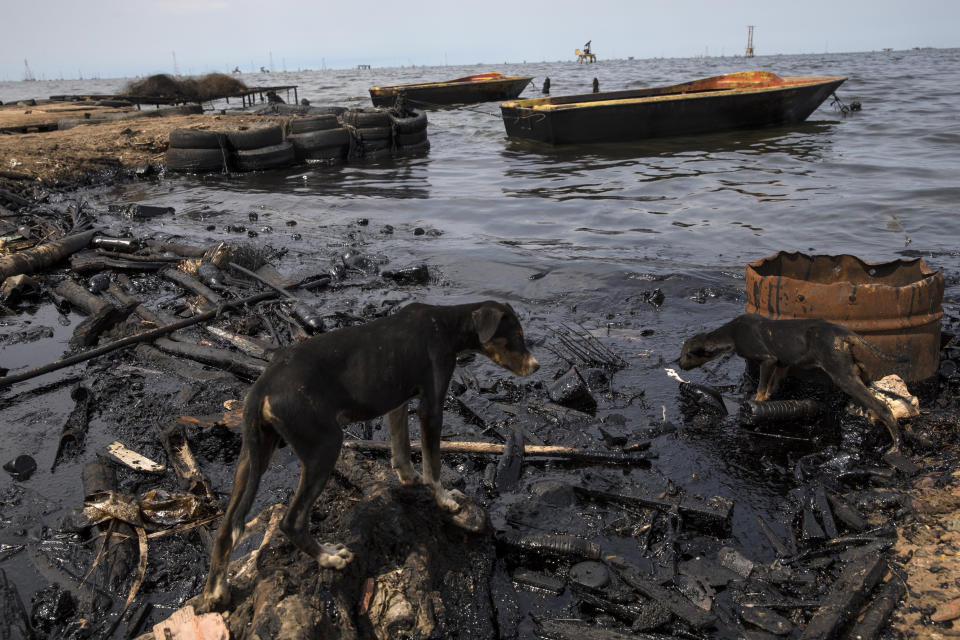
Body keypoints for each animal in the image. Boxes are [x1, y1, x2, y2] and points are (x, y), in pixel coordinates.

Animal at [201, 300, 540, 608]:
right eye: (516, 335)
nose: (536, 366)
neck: (446, 325)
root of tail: (263, 385)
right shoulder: (431, 406)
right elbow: (433, 464)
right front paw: (445, 500)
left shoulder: (399, 401)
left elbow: (401, 448)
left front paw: (409, 478)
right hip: (324, 447)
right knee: (292, 521)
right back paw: (329, 557)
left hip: (253, 454)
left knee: (226, 527)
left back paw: (216, 591)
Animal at [676, 316, 908, 456]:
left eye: (686, 355)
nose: (678, 364)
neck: (732, 333)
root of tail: (843, 332)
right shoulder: (782, 363)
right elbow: (772, 386)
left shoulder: (767, 360)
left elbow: (761, 389)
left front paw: (756, 407)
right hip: (852, 366)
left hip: (841, 373)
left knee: (882, 407)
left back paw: (896, 445)